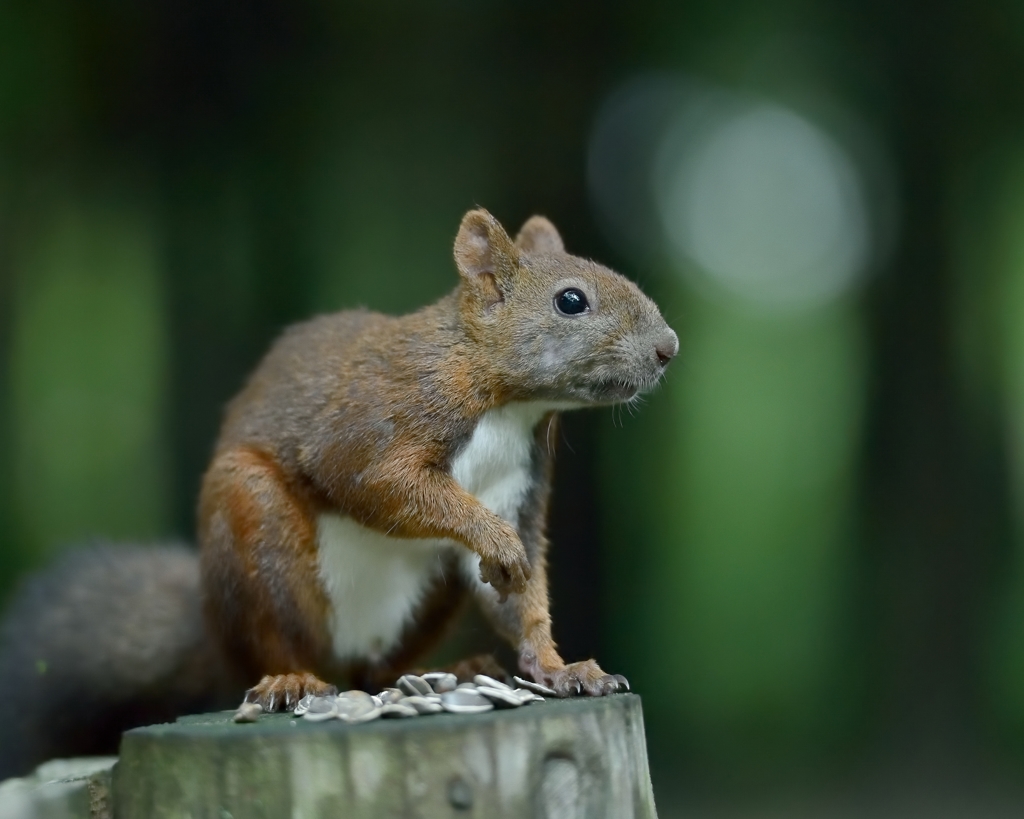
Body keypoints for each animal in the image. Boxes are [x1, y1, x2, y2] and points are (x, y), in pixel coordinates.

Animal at [0, 207, 675, 769]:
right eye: (571, 301)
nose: (668, 348)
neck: (507, 403)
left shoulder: (523, 486)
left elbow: (524, 591)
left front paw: (560, 668)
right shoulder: (379, 419)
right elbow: (378, 482)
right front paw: (493, 540)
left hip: (425, 598)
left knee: (375, 670)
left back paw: (447, 670)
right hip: (254, 531)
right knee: (279, 644)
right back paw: (291, 681)